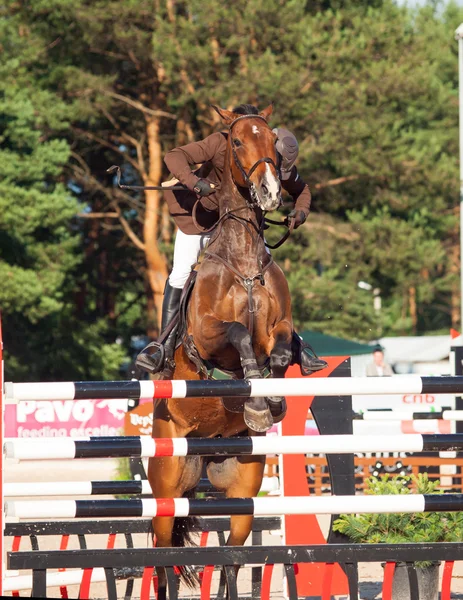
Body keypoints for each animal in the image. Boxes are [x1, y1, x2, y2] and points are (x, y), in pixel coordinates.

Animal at [148, 105, 294, 596]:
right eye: (236, 141)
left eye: (273, 141)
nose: (270, 191)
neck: (244, 259)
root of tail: (205, 450)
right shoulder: (208, 338)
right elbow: (237, 334)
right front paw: (257, 397)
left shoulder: (280, 327)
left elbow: (280, 350)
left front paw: (268, 399)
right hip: (166, 489)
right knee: (162, 559)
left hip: (242, 487)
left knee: (231, 555)